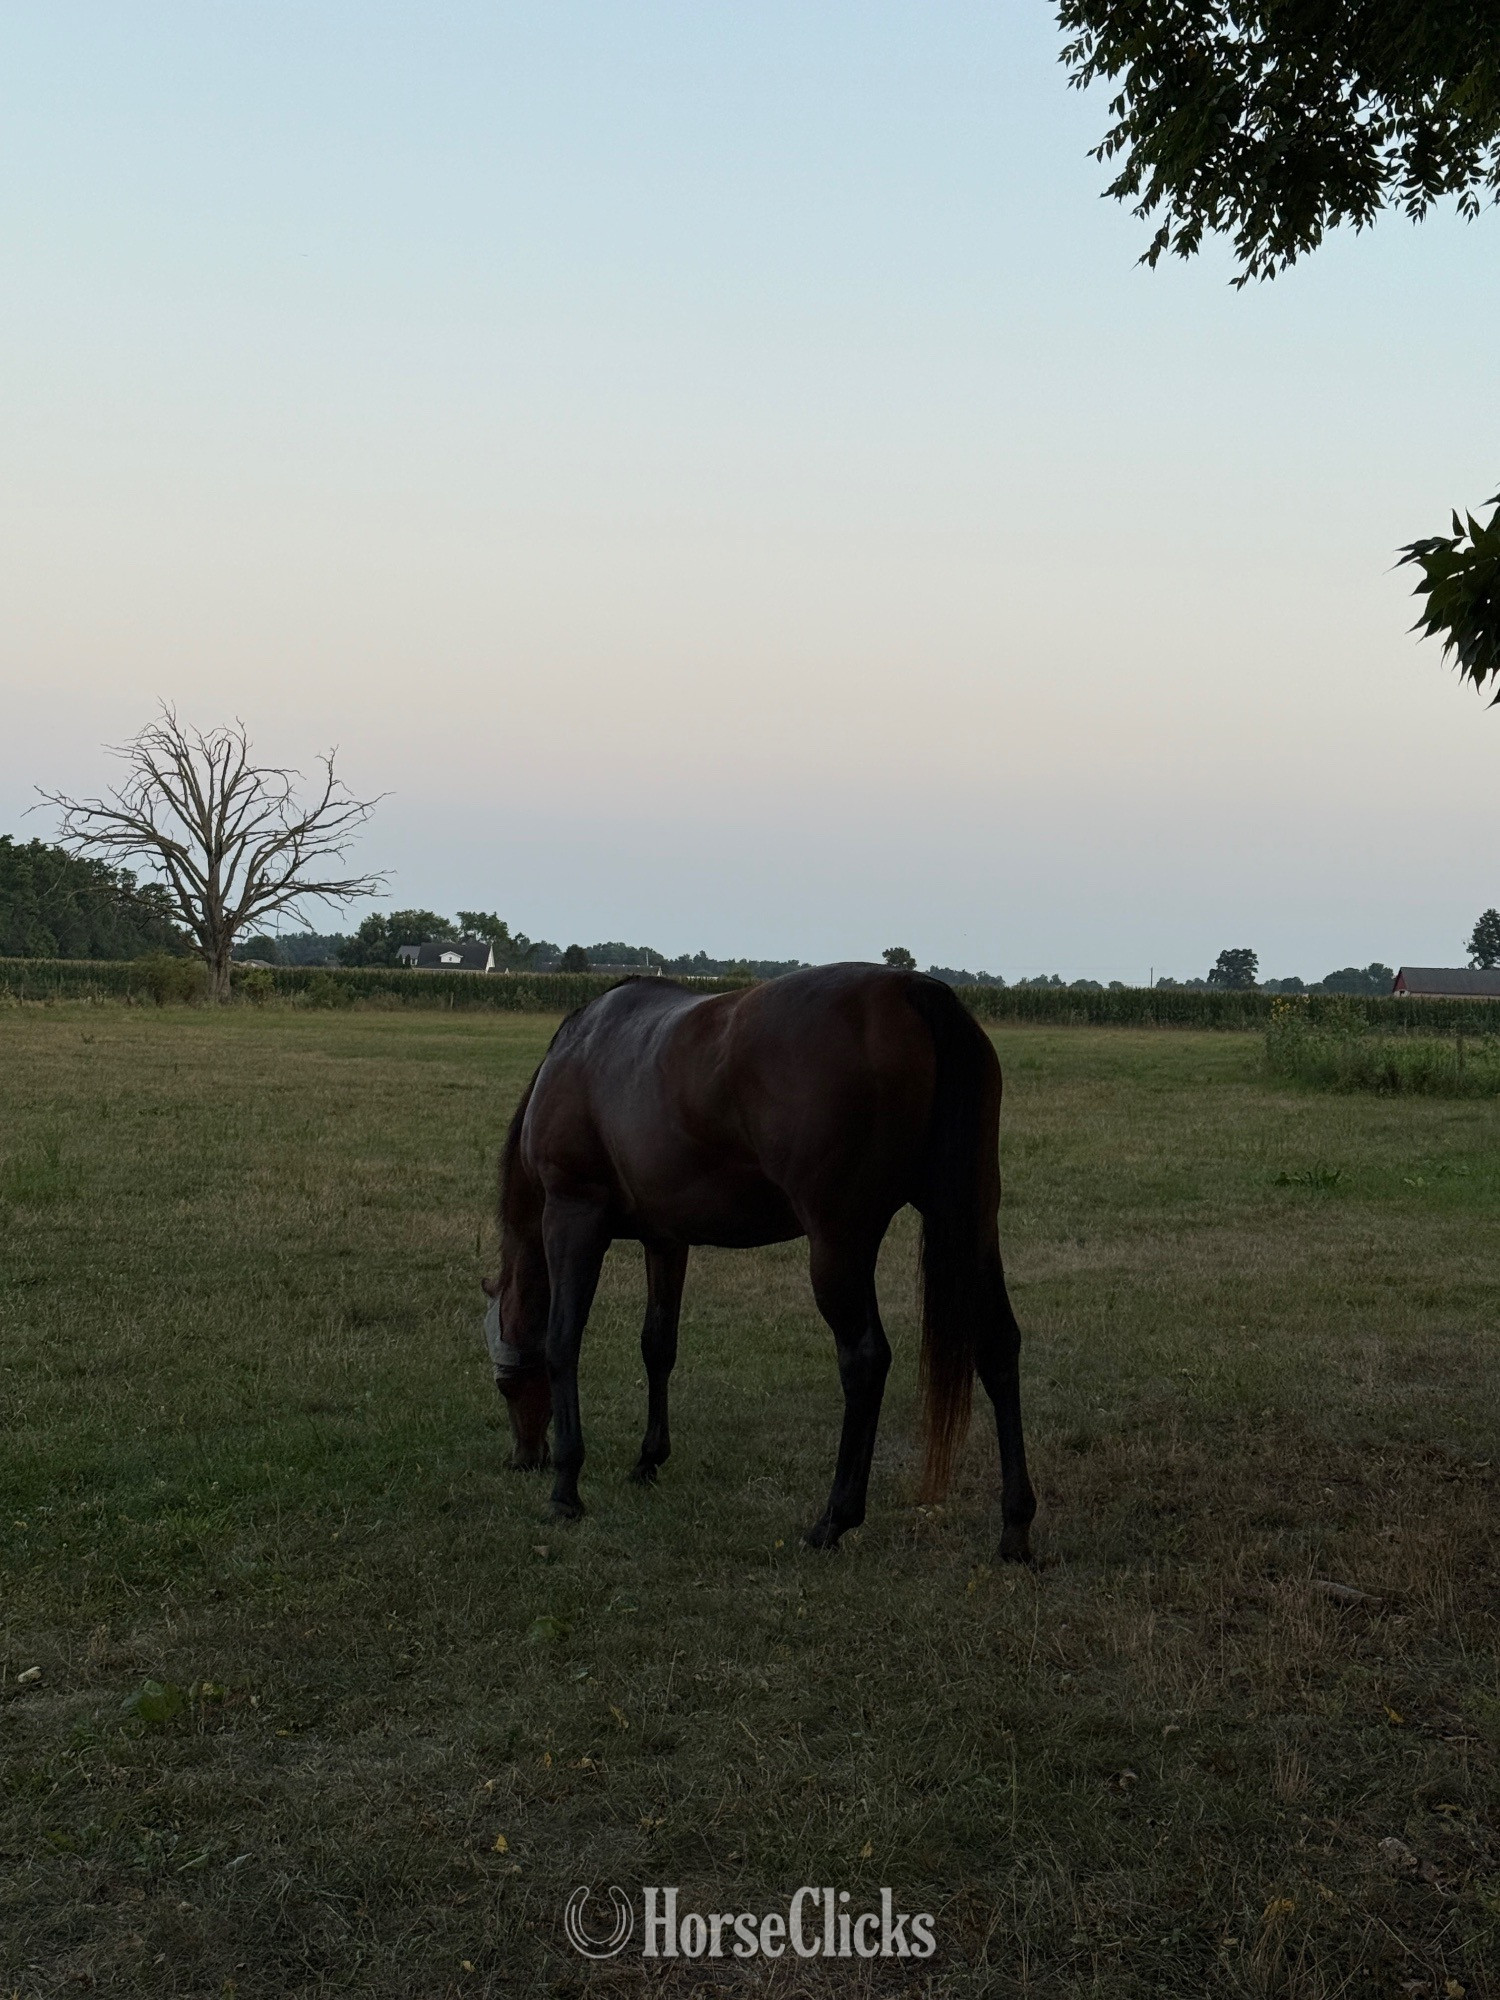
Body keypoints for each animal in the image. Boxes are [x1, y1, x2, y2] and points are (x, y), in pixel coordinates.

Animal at [480, 963, 1036, 1560]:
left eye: (505, 1386)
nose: (524, 1457)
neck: (579, 1052)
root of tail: (911, 989)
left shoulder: (571, 1216)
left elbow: (562, 1343)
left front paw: (566, 1488)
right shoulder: (666, 1240)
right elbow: (658, 1347)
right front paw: (648, 1460)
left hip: (840, 1244)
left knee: (865, 1360)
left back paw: (834, 1519)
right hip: (971, 1222)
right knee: (998, 1346)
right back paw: (1015, 1526)